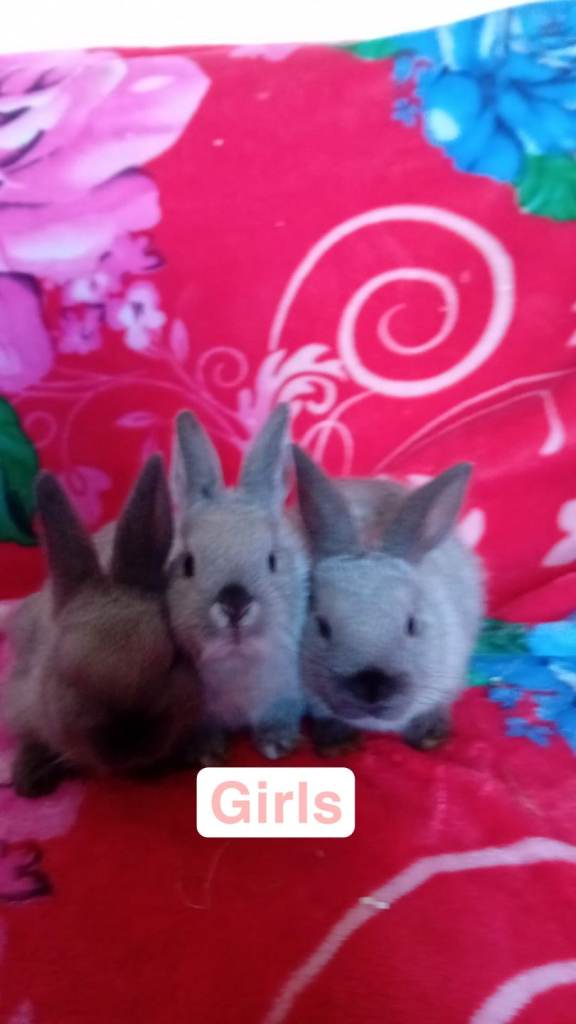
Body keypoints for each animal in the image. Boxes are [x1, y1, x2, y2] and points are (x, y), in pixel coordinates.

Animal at [168, 405, 308, 763]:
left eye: (272, 559)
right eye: (187, 564)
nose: (235, 602)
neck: (239, 661)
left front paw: (276, 745)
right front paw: (208, 754)